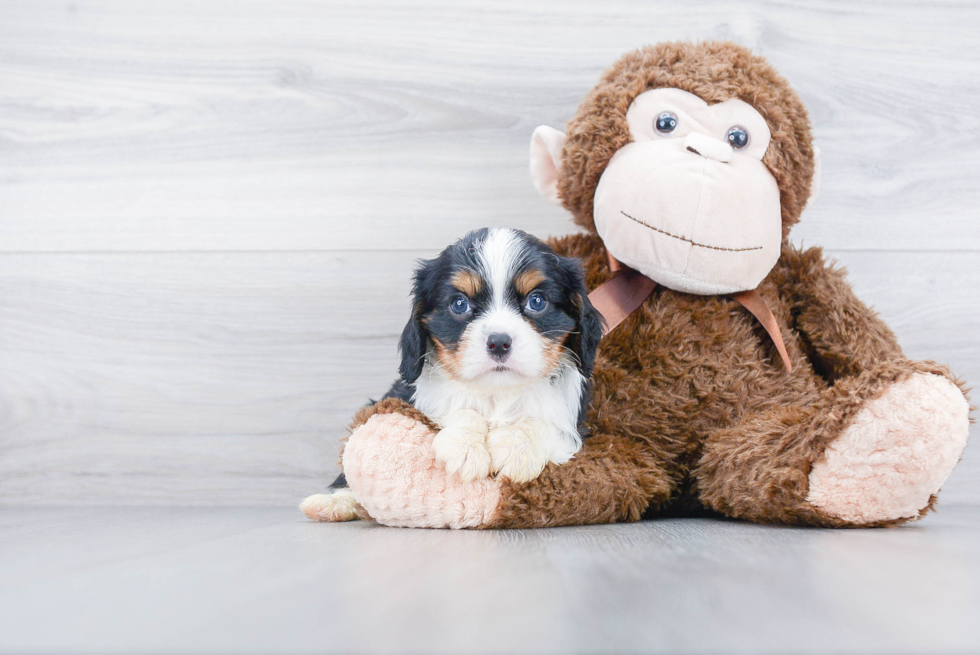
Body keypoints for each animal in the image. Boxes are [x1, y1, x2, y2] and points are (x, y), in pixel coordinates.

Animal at [300, 228, 604, 524]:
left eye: (537, 301)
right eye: (459, 305)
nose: (499, 342)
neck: (496, 392)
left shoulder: (573, 421)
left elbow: (544, 422)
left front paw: (518, 447)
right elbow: (457, 408)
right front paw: (466, 447)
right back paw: (334, 503)